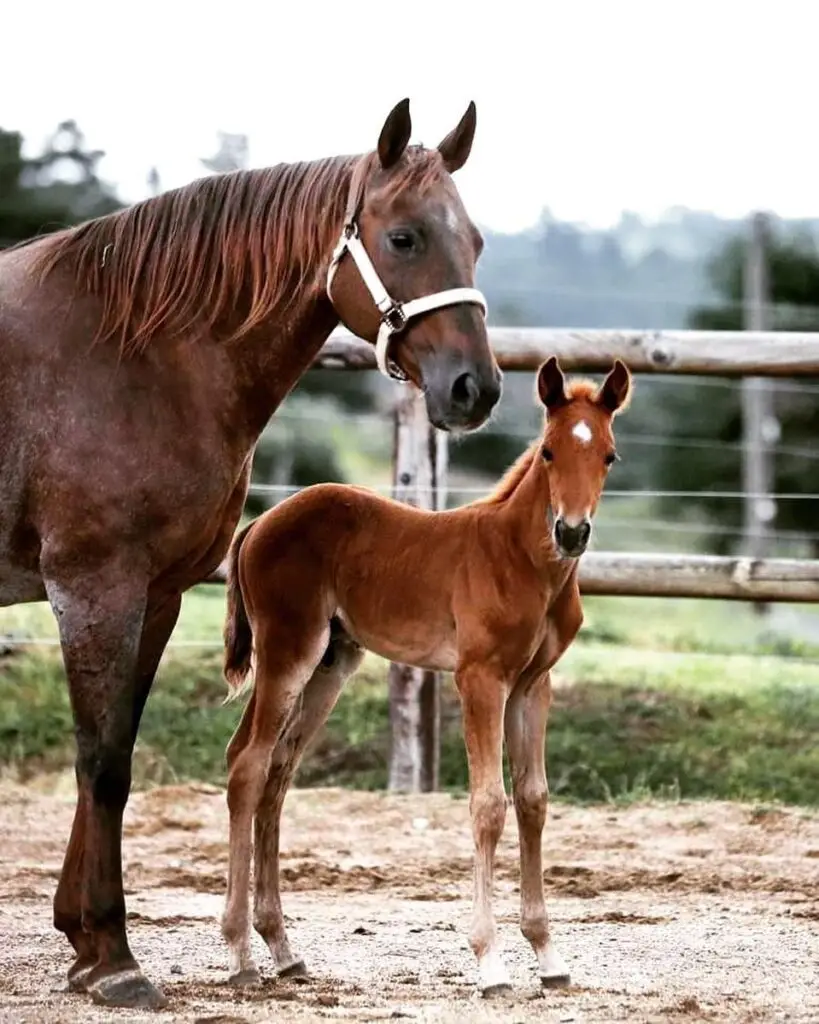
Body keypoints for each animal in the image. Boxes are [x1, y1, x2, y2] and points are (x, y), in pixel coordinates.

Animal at [0, 97, 502, 1010]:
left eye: (474, 239)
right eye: (404, 237)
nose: (474, 389)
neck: (133, 351)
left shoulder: (158, 594)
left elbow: (116, 750)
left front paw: (84, 944)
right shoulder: (94, 589)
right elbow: (102, 762)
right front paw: (115, 958)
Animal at [220, 355, 633, 997]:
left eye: (609, 455)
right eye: (547, 451)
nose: (571, 532)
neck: (522, 561)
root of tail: (260, 521)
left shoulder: (532, 685)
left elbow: (533, 800)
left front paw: (548, 956)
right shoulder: (479, 678)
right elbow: (489, 804)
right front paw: (490, 963)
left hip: (331, 664)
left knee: (277, 773)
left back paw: (283, 950)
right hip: (289, 651)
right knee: (248, 764)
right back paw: (240, 954)